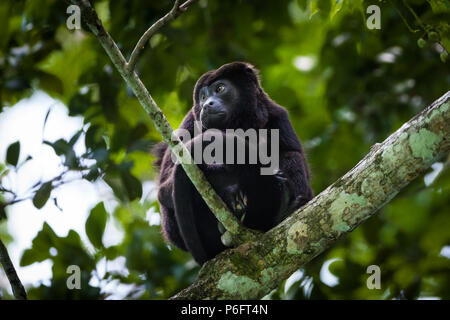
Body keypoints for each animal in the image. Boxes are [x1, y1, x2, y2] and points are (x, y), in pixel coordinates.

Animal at [155, 61, 312, 264]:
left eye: (219, 88)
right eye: (203, 97)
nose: (206, 105)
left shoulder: (276, 114)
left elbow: (293, 155)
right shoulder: (188, 123)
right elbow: (164, 189)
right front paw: (226, 186)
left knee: (291, 157)